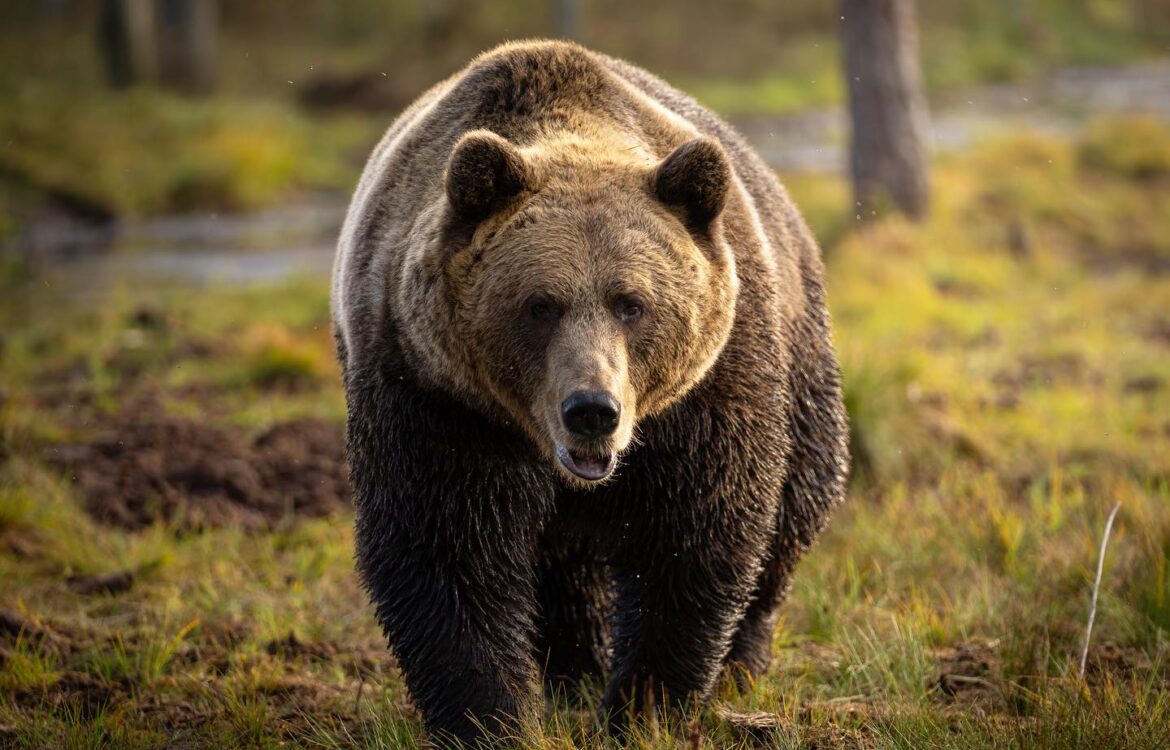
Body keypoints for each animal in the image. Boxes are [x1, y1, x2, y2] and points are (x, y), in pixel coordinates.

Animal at [334, 39, 847, 744]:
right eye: (539, 305)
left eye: (631, 303)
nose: (591, 411)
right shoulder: (433, 392)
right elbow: (445, 549)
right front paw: (489, 717)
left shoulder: (706, 394)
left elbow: (691, 532)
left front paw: (643, 706)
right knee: (563, 571)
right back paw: (572, 671)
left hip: (800, 356)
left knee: (796, 506)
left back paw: (737, 664)